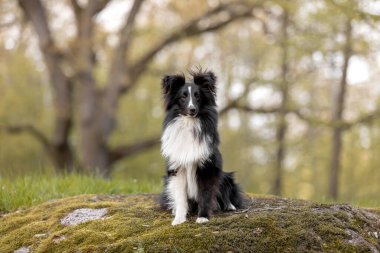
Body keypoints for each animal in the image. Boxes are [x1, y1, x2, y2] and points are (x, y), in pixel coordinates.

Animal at [158, 69, 242, 225]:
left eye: (198, 96)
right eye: (183, 97)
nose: (192, 109)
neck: (189, 122)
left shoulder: (207, 167)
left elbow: (206, 194)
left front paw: (202, 217)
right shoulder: (178, 168)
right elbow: (181, 197)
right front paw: (178, 219)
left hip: (226, 177)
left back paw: (230, 206)